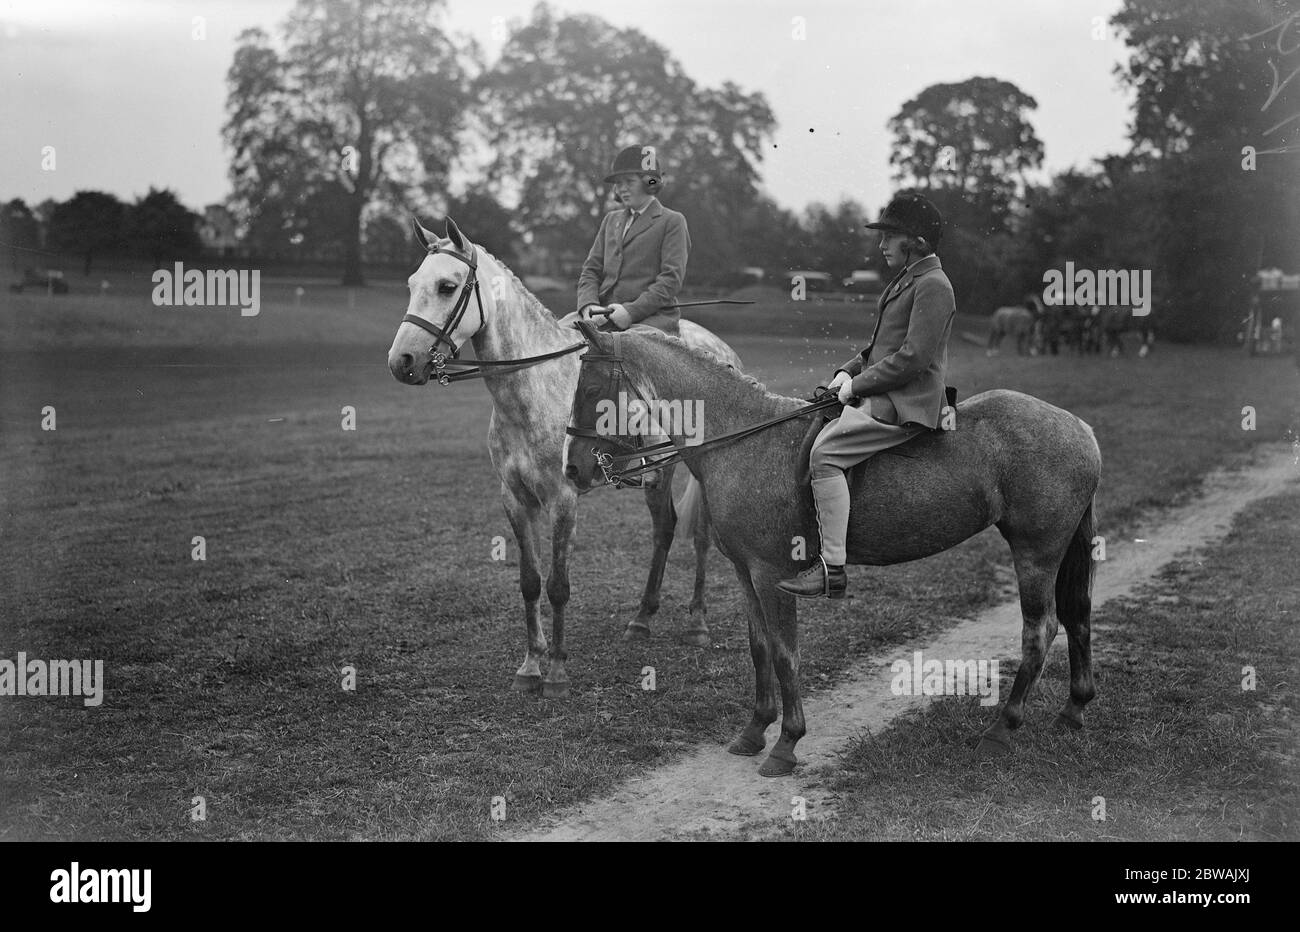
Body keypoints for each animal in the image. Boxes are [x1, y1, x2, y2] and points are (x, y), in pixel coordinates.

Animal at [382, 218, 743, 696]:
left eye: (447, 286)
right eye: (411, 284)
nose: (401, 361)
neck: (531, 388)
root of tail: (720, 350)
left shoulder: (563, 498)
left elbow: (557, 586)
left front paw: (555, 671)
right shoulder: (514, 499)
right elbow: (530, 582)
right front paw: (530, 665)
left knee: (699, 535)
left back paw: (697, 624)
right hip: (657, 474)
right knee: (664, 529)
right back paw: (641, 619)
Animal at [564, 323, 1102, 774]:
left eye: (590, 390)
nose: (574, 470)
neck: (740, 440)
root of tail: (1080, 428)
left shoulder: (770, 574)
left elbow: (785, 654)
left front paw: (786, 744)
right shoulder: (744, 573)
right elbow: (760, 647)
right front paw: (754, 731)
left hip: (1035, 553)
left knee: (1041, 629)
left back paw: (1002, 728)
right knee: (1076, 616)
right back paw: (1073, 710)